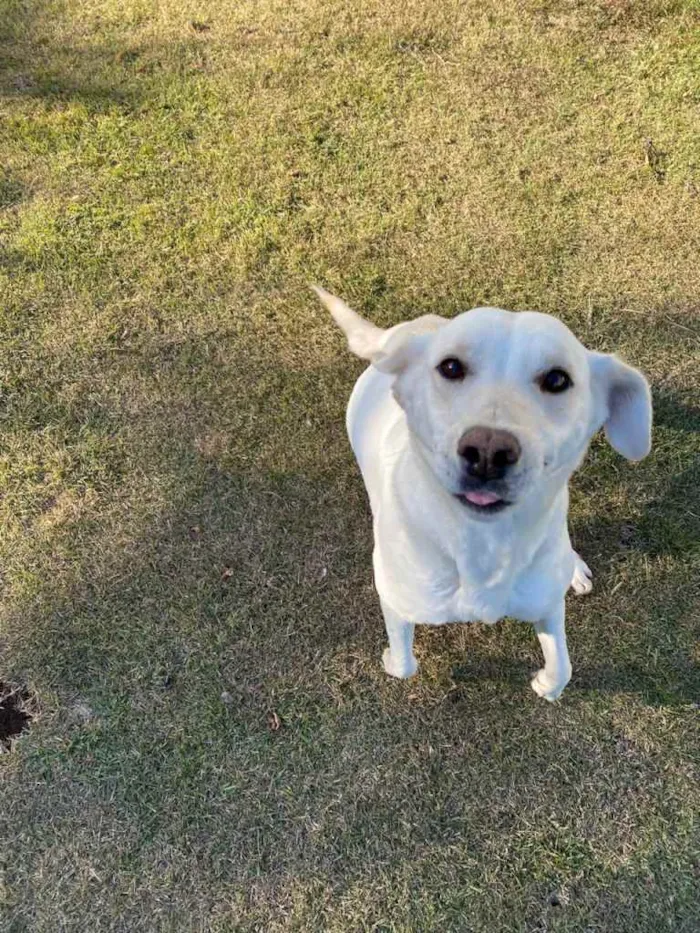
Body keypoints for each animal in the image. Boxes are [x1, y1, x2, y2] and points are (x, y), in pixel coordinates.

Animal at [314, 286, 652, 700]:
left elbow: (563, 667)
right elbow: (405, 664)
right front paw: (391, 660)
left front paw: (546, 684)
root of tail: (410, 329)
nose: (488, 452)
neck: (485, 543)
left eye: (557, 379)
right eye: (450, 367)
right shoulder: (393, 598)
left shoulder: (545, 605)